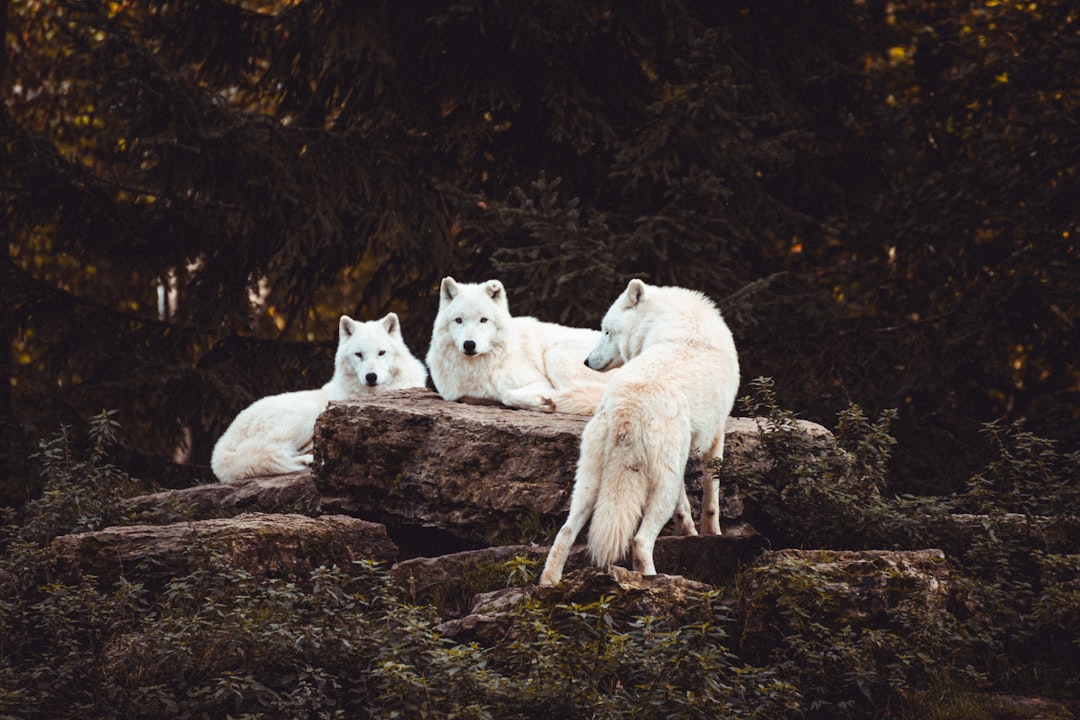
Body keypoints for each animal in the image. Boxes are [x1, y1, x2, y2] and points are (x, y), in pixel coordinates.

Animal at [211, 313, 427, 482]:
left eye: (381, 353)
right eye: (359, 354)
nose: (371, 377)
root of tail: (219, 450)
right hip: (305, 416)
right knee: (275, 453)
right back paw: (308, 461)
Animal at [426, 276, 609, 414]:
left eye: (483, 320)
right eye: (458, 320)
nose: (469, 344)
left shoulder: (539, 381)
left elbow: (506, 394)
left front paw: (543, 402)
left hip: (554, 355)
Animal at [539, 279, 740, 585]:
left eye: (606, 331)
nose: (587, 361)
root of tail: (628, 406)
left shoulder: (682, 456)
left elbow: (685, 504)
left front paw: (689, 532)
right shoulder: (715, 434)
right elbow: (711, 497)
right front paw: (711, 533)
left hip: (589, 483)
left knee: (565, 531)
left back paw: (548, 584)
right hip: (660, 488)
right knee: (640, 541)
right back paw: (653, 580)